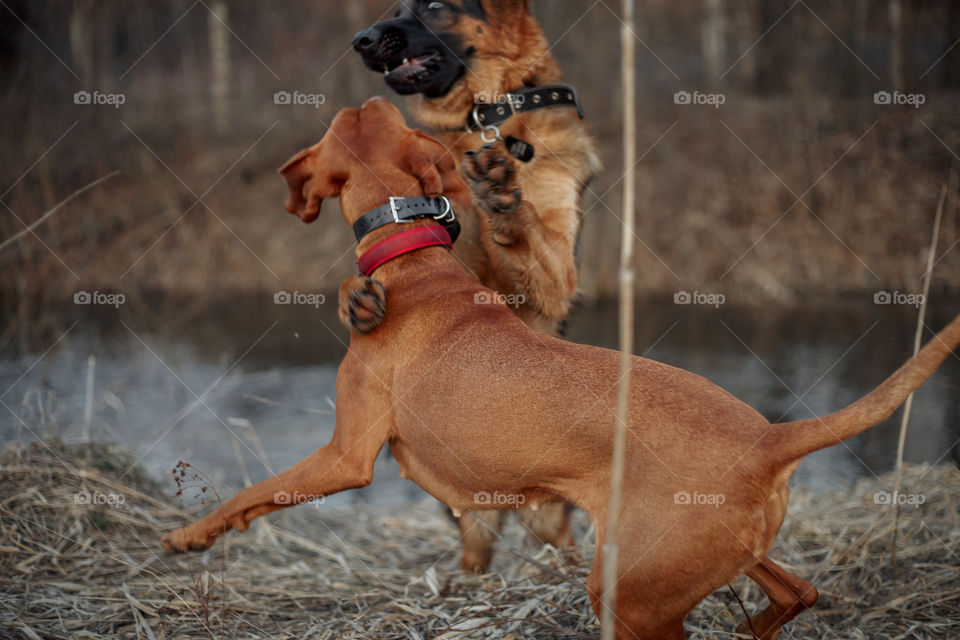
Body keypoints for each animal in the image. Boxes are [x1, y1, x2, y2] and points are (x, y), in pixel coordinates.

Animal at [165, 99, 960, 640]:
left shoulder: (346, 455)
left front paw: (189, 536)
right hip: (698, 556)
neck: (415, 259)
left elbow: (256, 493)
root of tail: (770, 439)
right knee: (800, 593)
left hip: (630, 595)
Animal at [348, 0, 600, 568]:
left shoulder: (556, 272)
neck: (484, 120)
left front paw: (503, 197)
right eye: (396, 8)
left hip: (547, 509)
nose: (362, 40)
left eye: (435, 6)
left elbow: (529, 236)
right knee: (475, 541)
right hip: (468, 504)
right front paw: (359, 302)